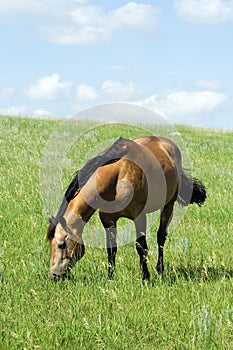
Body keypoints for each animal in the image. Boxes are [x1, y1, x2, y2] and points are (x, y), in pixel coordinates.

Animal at [46, 135, 206, 280]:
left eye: (61, 245)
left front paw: (145, 277)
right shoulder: (107, 219)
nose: (54, 276)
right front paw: (110, 277)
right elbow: (112, 248)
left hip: (168, 205)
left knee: (161, 237)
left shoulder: (139, 216)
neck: (118, 176)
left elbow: (141, 247)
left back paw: (160, 270)